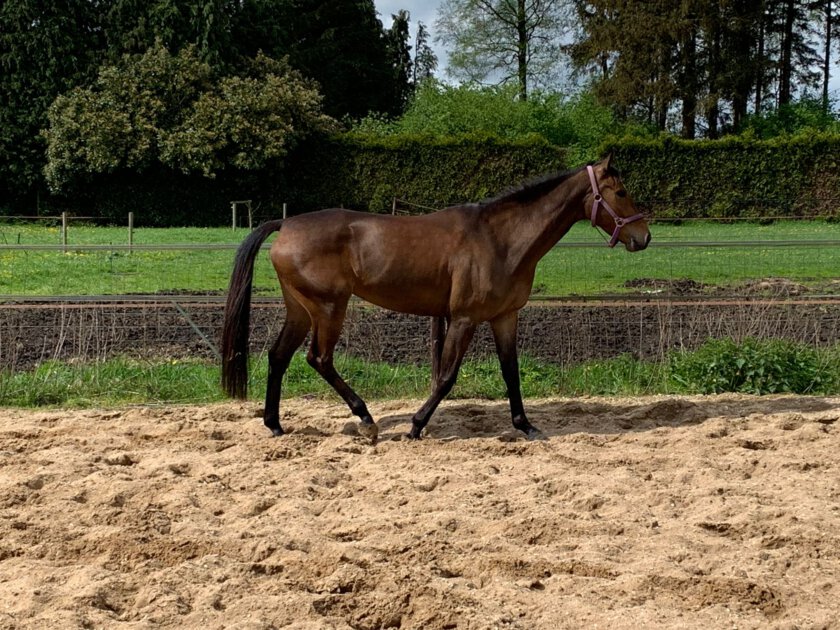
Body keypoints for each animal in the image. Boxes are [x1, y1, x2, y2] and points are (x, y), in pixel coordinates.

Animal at [221, 154, 650, 441]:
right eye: (621, 192)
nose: (643, 236)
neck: (500, 239)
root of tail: (286, 223)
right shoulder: (463, 319)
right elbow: (446, 377)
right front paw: (415, 426)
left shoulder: (504, 317)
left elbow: (511, 372)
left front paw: (526, 426)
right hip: (329, 308)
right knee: (318, 359)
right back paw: (366, 420)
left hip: (301, 309)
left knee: (279, 356)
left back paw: (275, 425)